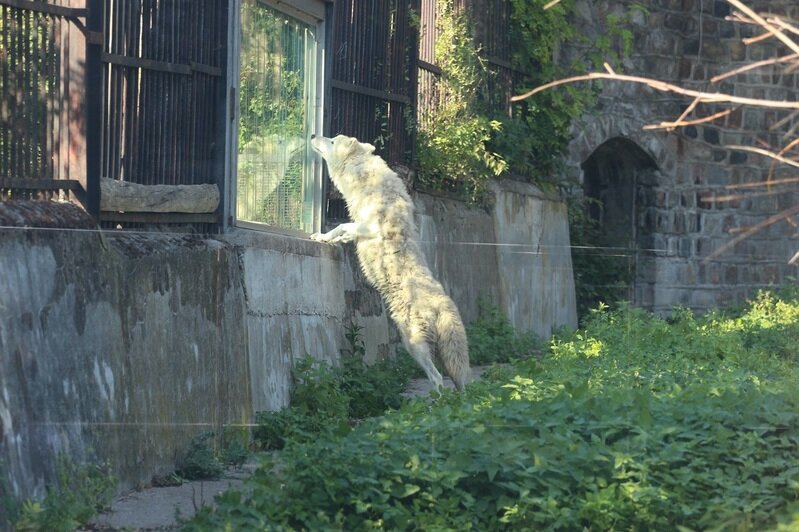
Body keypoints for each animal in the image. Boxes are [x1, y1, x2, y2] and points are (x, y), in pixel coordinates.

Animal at [308, 134, 468, 390]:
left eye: (332, 140)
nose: (314, 135)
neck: (367, 182)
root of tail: (444, 310)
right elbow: (346, 231)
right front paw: (336, 238)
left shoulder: (372, 227)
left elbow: (342, 225)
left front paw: (322, 237)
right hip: (442, 351)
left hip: (413, 343)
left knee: (437, 378)